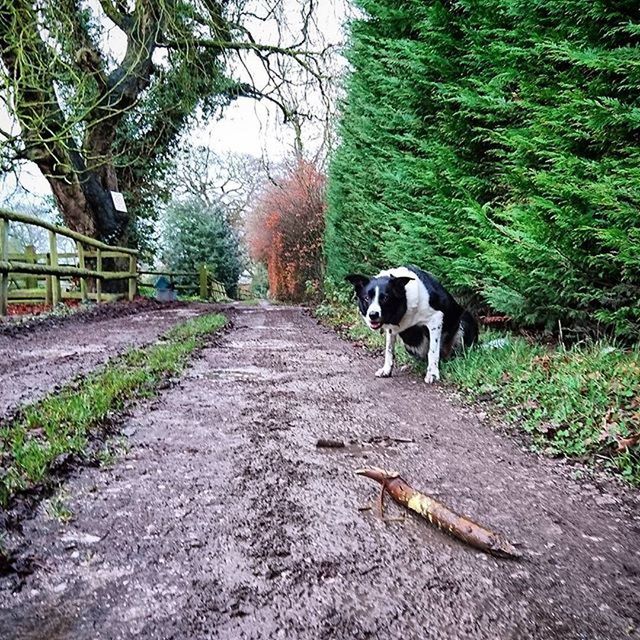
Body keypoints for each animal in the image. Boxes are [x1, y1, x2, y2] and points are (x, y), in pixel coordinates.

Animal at [348, 266, 478, 382]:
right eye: (366, 298)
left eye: (385, 298)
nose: (373, 315)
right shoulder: (391, 329)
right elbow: (389, 350)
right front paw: (386, 370)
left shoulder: (436, 319)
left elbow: (433, 351)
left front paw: (432, 374)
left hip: (464, 321)